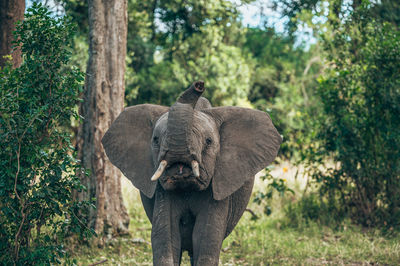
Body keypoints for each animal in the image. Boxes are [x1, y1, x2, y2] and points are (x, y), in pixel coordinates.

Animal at [101, 80, 282, 264]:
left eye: (208, 141)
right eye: (156, 140)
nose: (199, 85)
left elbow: (206, 237)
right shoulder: (161, 192)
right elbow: (165, 237)